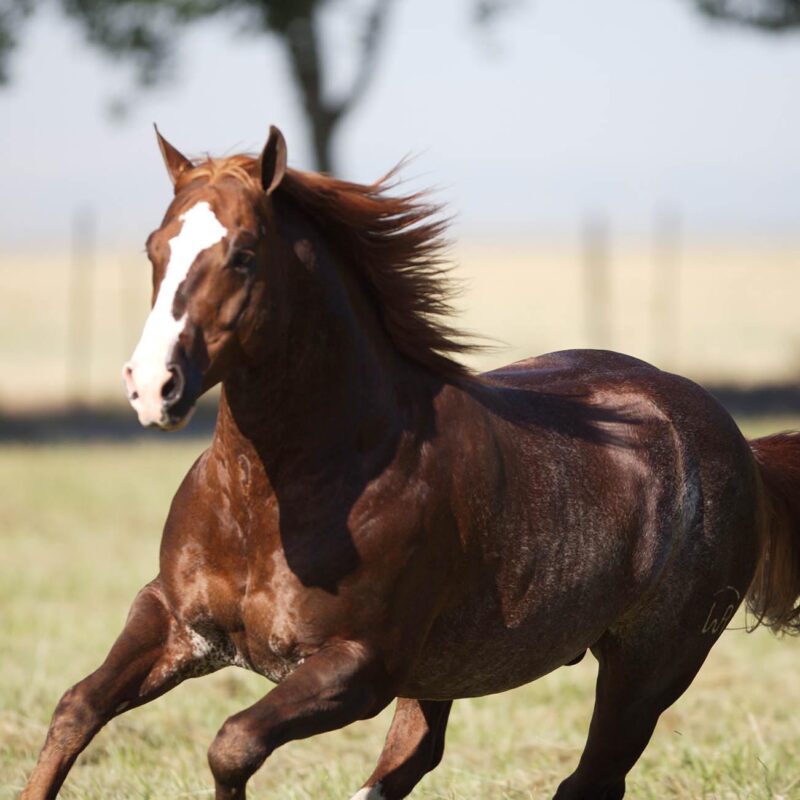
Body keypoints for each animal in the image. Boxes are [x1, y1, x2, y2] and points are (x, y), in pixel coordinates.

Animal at [20, 126, 800, 800]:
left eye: (242, 253)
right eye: (155, 247)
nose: (153, 385)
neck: (276, 497)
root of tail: (737, 444)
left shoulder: (359, 667)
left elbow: (232, 744)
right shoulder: (176, 620)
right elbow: (76, 708)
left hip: (647, 668)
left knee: (588, 780)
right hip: (449, 669)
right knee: (415, 758)